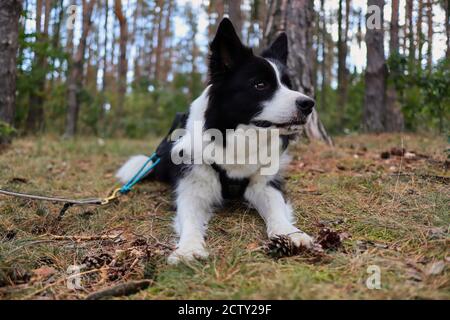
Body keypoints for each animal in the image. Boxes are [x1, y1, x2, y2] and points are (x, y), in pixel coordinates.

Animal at [116, 19, 316, 264]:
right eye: (260, 84)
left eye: (288, 85)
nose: (309, 104)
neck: (238, 139)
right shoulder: (191, 187)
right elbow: (190, 220)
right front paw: (188, 248)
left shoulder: (265, 184)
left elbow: (277, 208)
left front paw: (290, 233)